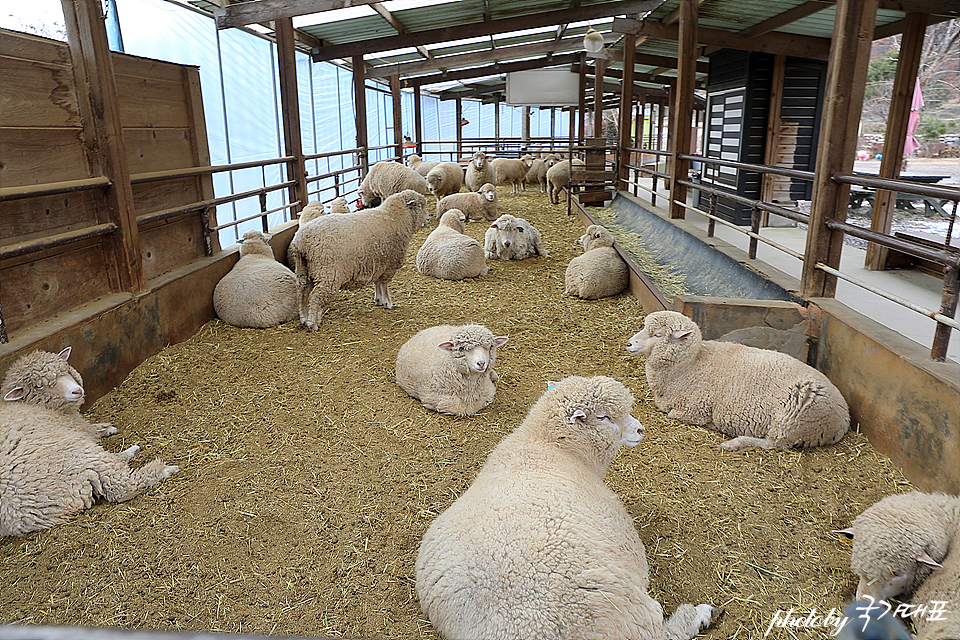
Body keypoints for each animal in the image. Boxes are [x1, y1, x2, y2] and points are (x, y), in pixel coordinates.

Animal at [286, 189, 426, 330]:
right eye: (419, 206)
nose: (428, 217)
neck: (396, 217)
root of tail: (301, 240)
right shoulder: (390, 265)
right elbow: (384, 284)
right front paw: (388, 302)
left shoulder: (379, 262)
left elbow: (377, 283)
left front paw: (379, 300)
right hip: (328, 272)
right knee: (315, 297)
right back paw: (313, 324)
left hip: (303, 269)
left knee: (302, 293)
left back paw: (304, 318)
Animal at [414, 376, 720, 640]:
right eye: (604, 417)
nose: (641, 430)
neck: (548, 444)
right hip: (619, 606)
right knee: (661, 633)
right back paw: (702, 614)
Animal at [628, 310, 852, 450]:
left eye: (658, 335)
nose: (629, 343)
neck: (691, 364)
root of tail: (845, 418)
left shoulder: (694, 408)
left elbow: (674, 414)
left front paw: (711, 424)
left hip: (793, 421)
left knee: (774, 444)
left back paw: (733, 443)